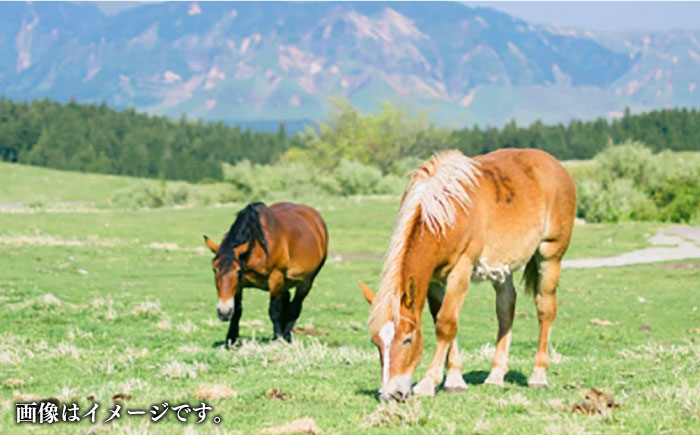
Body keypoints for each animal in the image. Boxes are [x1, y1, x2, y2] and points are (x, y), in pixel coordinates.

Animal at [204, 201, 326, 348]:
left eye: (237, 270)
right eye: (214, 270)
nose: (224, 312)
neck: (257, 247)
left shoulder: (275, 277)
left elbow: (274, 311)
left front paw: (278, 339)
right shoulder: (240, 284)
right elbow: (237, 311)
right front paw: (231, 340)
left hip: (306, 282)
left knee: (295, 307)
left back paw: (286, 336)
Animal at [360, 149, 576, 402]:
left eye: (408, 339)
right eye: (376, 342)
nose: (390, 395)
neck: (446, 213)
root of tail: (555, 165)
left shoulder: (461, 269)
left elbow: (446, 323)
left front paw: (428, 382)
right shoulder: (435, 280)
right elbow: (443, 320)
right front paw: (455, 379)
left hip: (550, 255)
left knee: (545, 310)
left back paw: (538, 375)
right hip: (502, 268)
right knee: (506, 310)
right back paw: (496, 375)